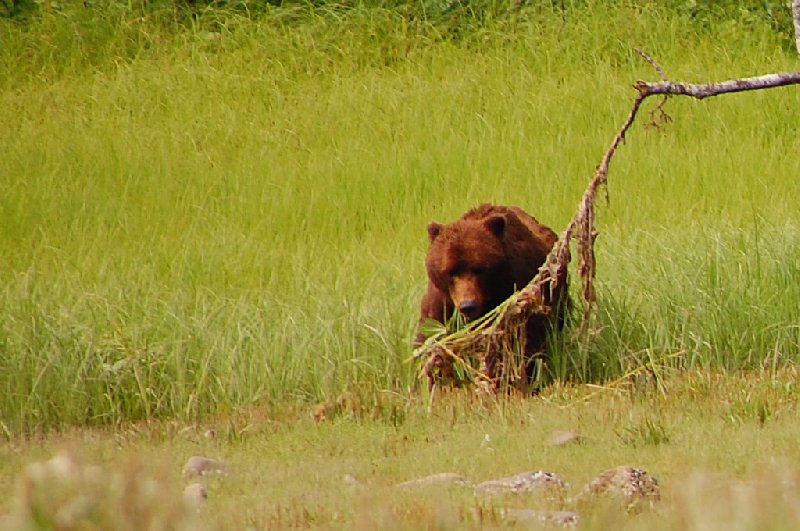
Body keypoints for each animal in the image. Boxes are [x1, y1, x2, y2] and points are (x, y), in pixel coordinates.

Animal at [416, 205, 564, 386]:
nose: (468, 306)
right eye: (450, 271)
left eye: (480, 268)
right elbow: (430, 335)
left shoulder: (515, 293)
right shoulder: (442, 300)